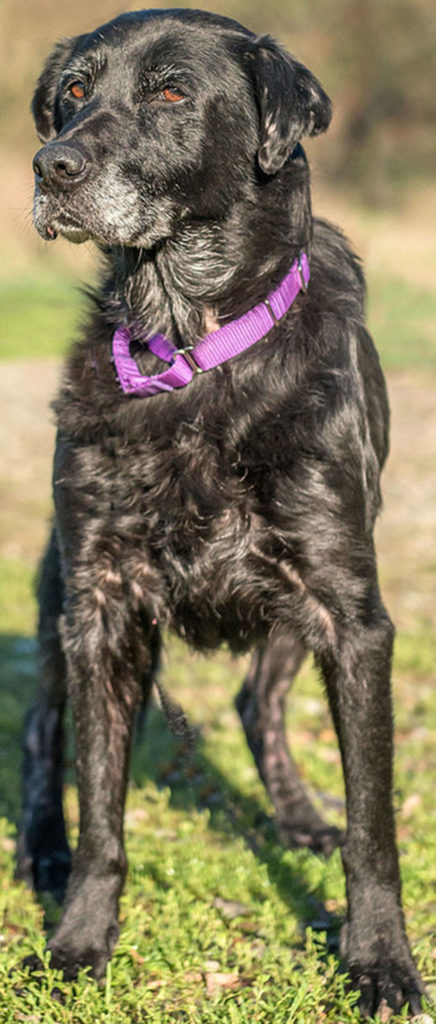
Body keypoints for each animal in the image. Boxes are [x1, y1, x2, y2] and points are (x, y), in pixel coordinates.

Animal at [18, 6, 423, 1015]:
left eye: (170, 92)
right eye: (74, 91)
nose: (51, 166)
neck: (189, 352)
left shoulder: (350, 611)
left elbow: (374, 828)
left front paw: (380, 959)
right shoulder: (101, 605)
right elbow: (102, 810)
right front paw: (79, 942)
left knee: (256, 700)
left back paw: (298, 813)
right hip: (54, 601)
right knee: (43, 731)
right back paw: (39, 849)